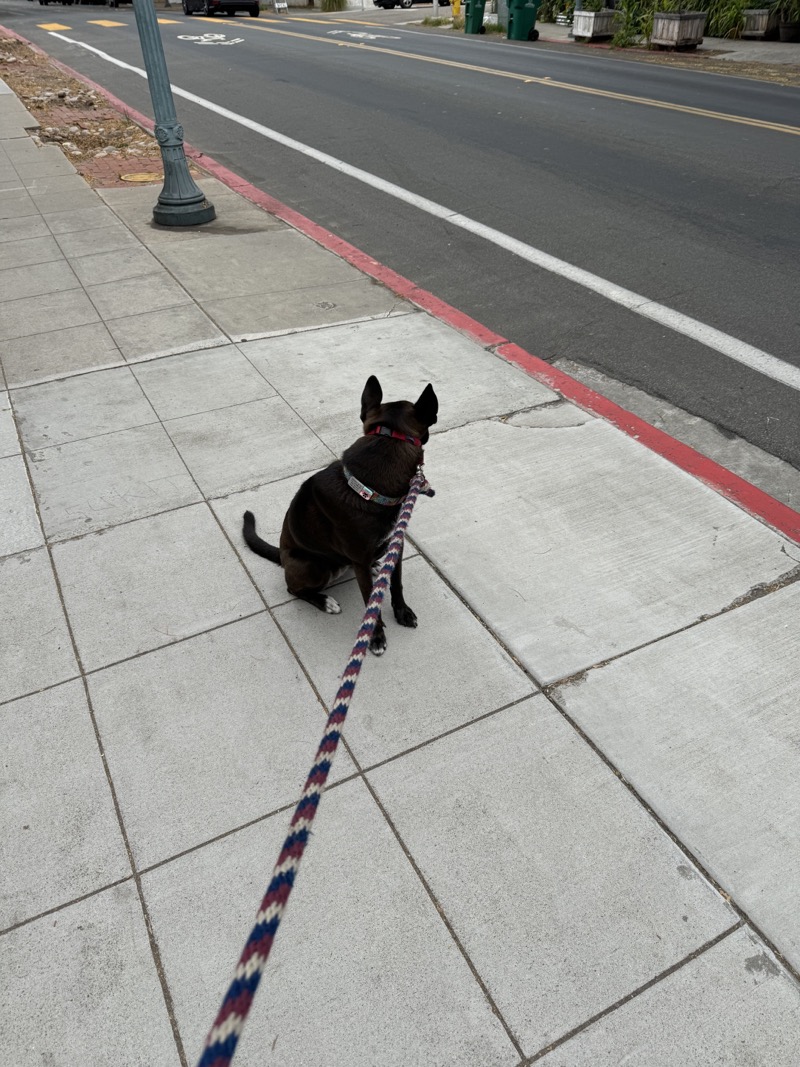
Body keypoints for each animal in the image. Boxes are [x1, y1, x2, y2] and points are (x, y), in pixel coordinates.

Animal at [243, 375, 439, 657]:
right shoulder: (359, 560)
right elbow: (370, 601)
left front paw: (402, 612)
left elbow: (396, 583)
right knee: (293, 588)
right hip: (313, 566)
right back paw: (324, 601)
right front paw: (375, 637)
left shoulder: (396, 543)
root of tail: (281, 555)